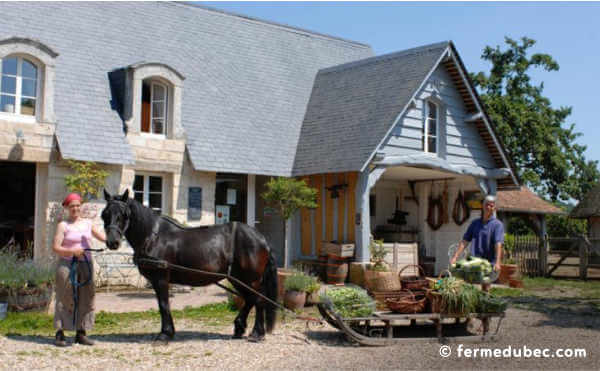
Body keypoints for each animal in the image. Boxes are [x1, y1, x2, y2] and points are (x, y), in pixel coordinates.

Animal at [101, 190, 278, 344]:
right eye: (105, 214)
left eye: (124, 215)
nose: (112, 242)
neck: (153, 236)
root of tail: (261, 238)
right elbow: (162, 305)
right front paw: (168, 332)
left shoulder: (161, 279)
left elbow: (164, 304)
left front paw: (165, 334)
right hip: (238, 278)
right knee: (250, 299)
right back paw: (239, 328)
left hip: (251, 279)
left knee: (259, 300)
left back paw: (257, 333)